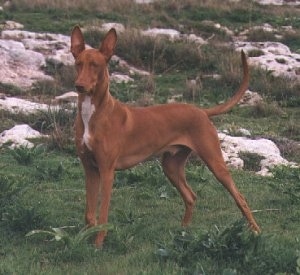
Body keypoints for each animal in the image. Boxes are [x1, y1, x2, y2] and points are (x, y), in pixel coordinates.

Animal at [70, 25, 260, 248]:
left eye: (95, 65)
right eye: (78, 64)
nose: (79, 86)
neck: (93, 113)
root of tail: (201, 111)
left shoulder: (107, 171)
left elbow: (103, 214)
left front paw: (98, 243)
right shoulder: (90, 169)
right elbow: (89, 214)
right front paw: (85, 239)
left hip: (215, 163)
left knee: (240, 198)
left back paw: (256, 233)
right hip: (171, 166)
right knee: (191, 196)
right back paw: (182, 232)